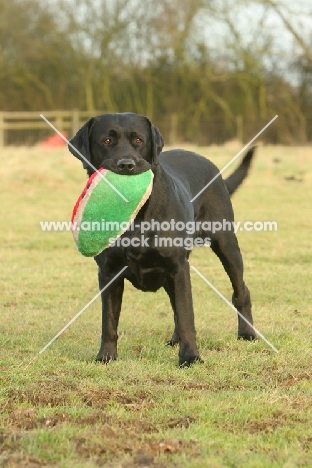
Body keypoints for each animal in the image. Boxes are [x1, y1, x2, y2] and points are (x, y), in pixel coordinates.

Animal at [68, 112, 256, 366]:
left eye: (138, 140)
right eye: (106, 141)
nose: (126, 165)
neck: (137, 216)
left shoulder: (178, 268)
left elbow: (186, 315)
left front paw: (190, 357)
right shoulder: (109, 272)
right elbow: (109, 321)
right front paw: (106, 356)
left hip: (225, 244)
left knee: (240, 290)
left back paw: (247, 333)